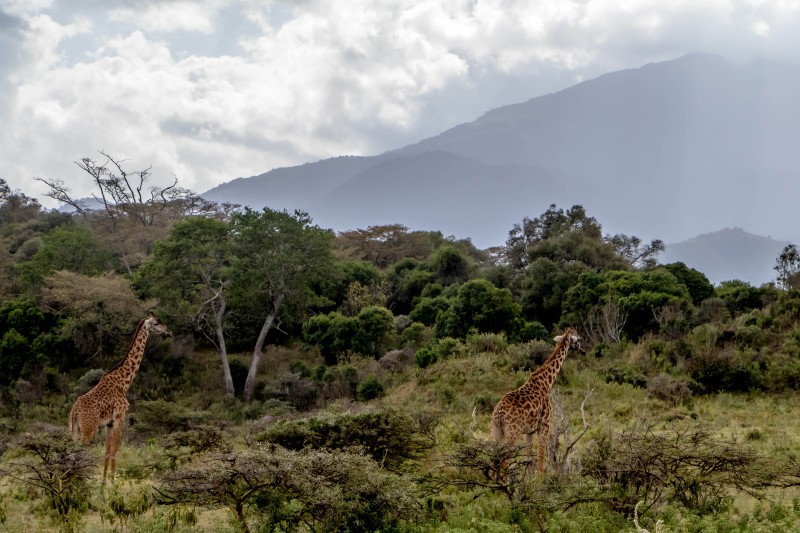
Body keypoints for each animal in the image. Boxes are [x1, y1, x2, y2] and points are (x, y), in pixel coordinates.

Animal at [68, 314, 172, 483]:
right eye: (157, 323)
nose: (168, 332)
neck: (123, 382)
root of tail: (74, 412)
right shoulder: (120, 416)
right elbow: (114, 451)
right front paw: (113, 483)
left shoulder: (109, 423)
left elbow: (106, 451)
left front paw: (104, 483)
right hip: (88, 429)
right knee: (79, 453)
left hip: (74, 429)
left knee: (71, 454)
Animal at [491, 326, 584, 477]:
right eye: (579, 339)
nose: (583, 351)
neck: (546, 382)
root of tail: (499, 414)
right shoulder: (545, 424)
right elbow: (540, 457)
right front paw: (540, 480)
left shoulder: (529, 431)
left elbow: (529, 458)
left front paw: (529, 480)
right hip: (512, 433)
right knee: (504, 462)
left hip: (495, 431)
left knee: (493, 460)